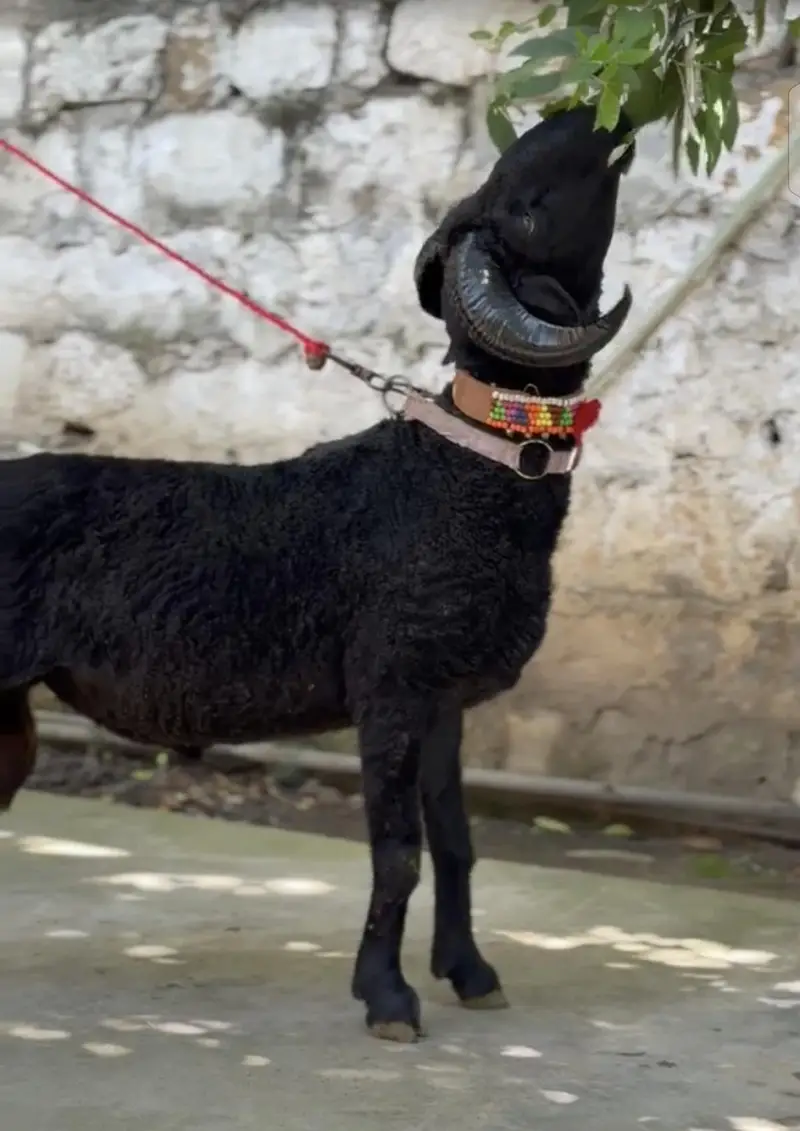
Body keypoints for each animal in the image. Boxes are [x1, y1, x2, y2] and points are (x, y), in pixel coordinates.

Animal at [0, 104, 634, 1043]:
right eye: (524, 209)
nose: (590, 116)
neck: (460, 474)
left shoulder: (442, 699)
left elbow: (455, 842)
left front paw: (471, 971)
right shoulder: (392, 688)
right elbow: (398, 853)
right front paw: (388, 997)